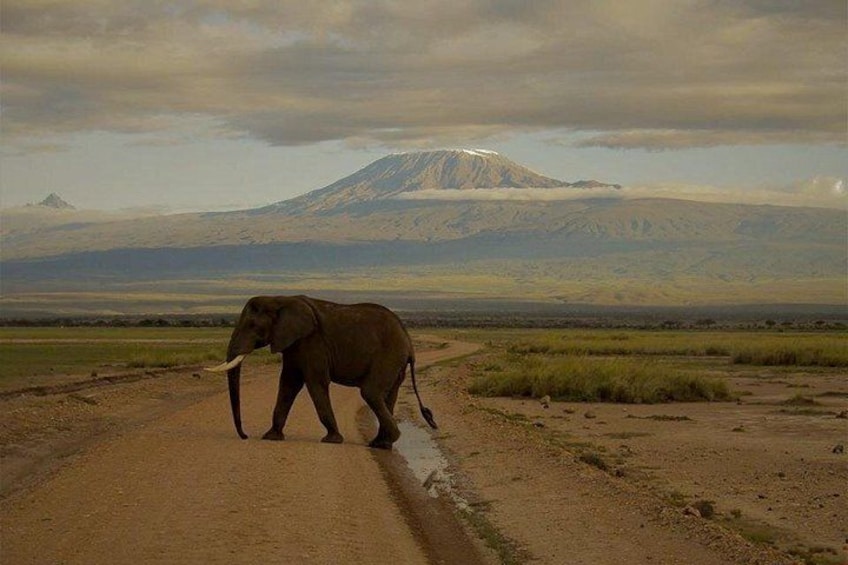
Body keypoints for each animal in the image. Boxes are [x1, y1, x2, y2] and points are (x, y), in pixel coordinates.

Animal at [206, 295, 437, 449]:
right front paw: (271, 437)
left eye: (252, 325)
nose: (244, 436)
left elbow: (315, 382)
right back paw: (381, 443)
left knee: (370, 392)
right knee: (388, 394)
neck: (280, 299)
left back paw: (384, 441)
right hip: (396, 363)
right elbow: (288, 383)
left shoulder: (312, 342)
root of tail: (409, 342)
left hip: (389, 356)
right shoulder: (294, 343)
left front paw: (331, 440)